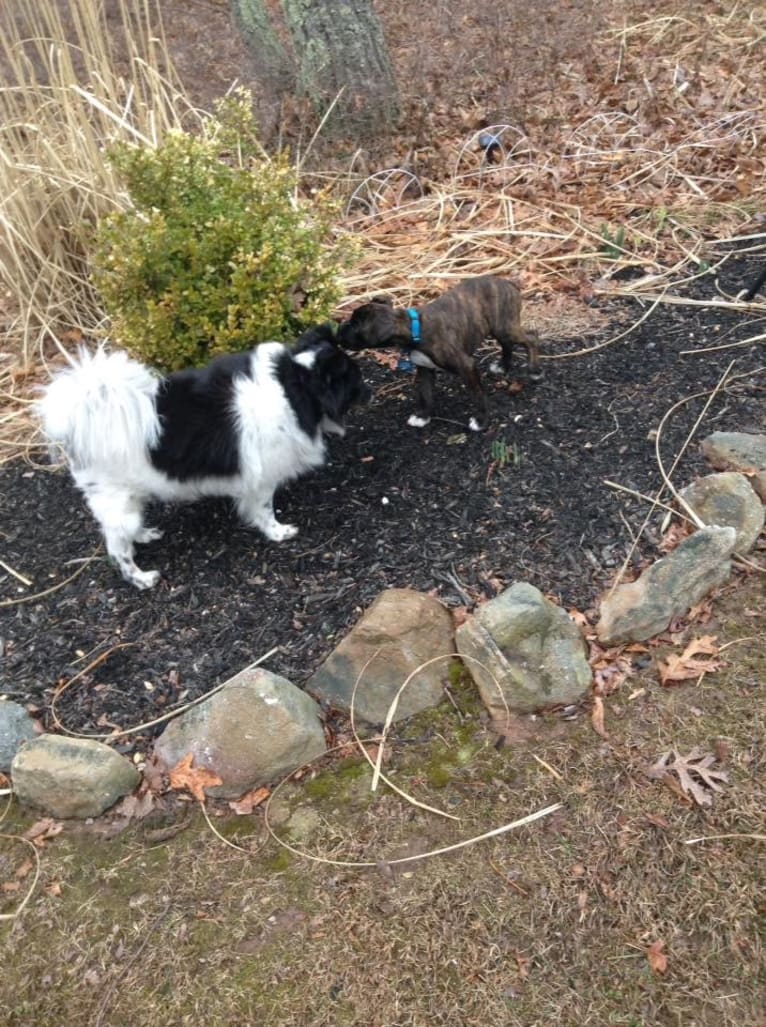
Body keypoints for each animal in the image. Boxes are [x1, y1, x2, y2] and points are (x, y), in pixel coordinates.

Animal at [37, 324, 367, 591]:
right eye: (355, 380)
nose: (370, 391)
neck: (294, 386)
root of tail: (84, 416)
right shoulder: (262, 480)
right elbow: (264, 510)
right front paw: (278, 532)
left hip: (131, 497)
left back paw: (145, 535)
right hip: (118, 503)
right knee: (117, 549)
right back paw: (141, 579)